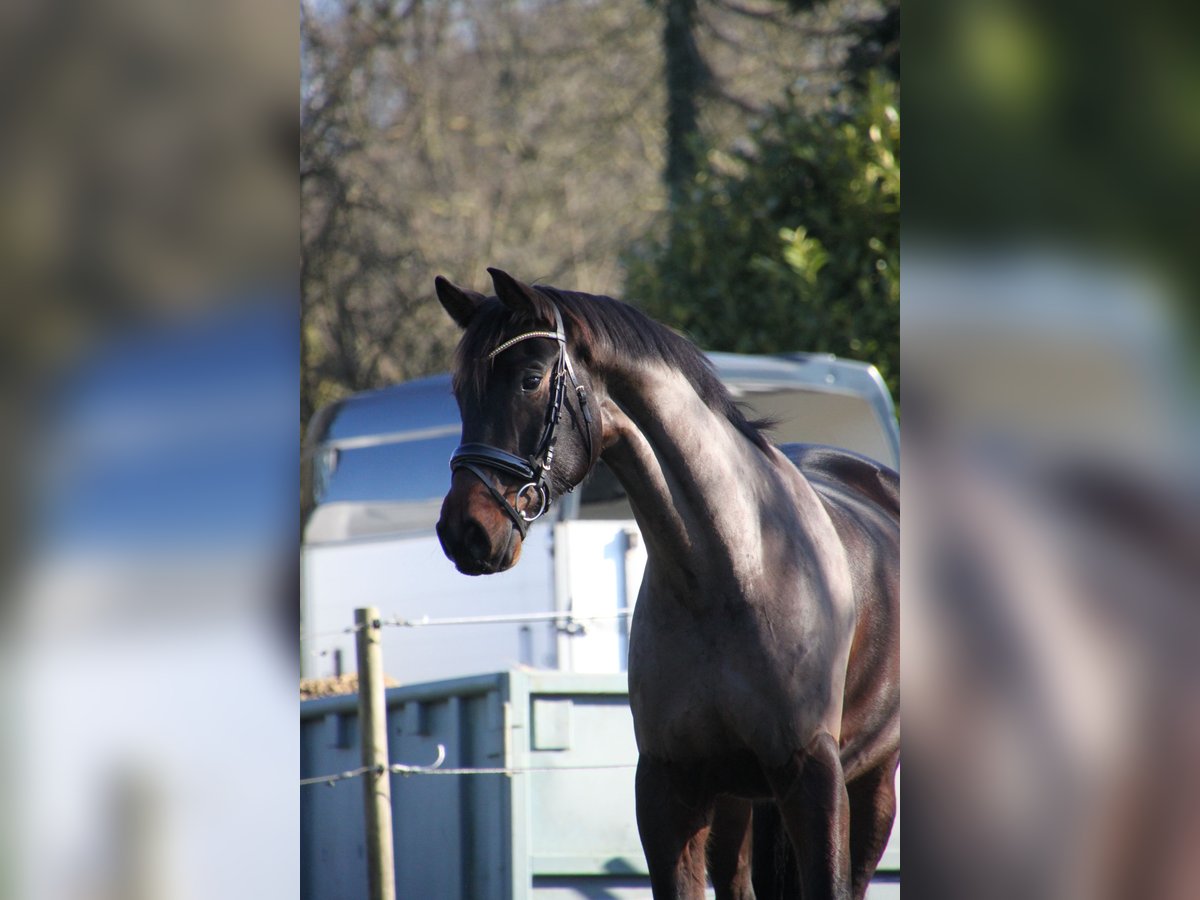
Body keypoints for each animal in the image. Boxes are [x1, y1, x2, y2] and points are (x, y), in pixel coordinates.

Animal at [436, 270, 897, 900]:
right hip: (739, 803)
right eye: (460, 393)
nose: (464, 531)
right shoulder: (668, 790)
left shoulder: (814, 778)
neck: (728, 576)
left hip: (870, 784)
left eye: (530, 380)